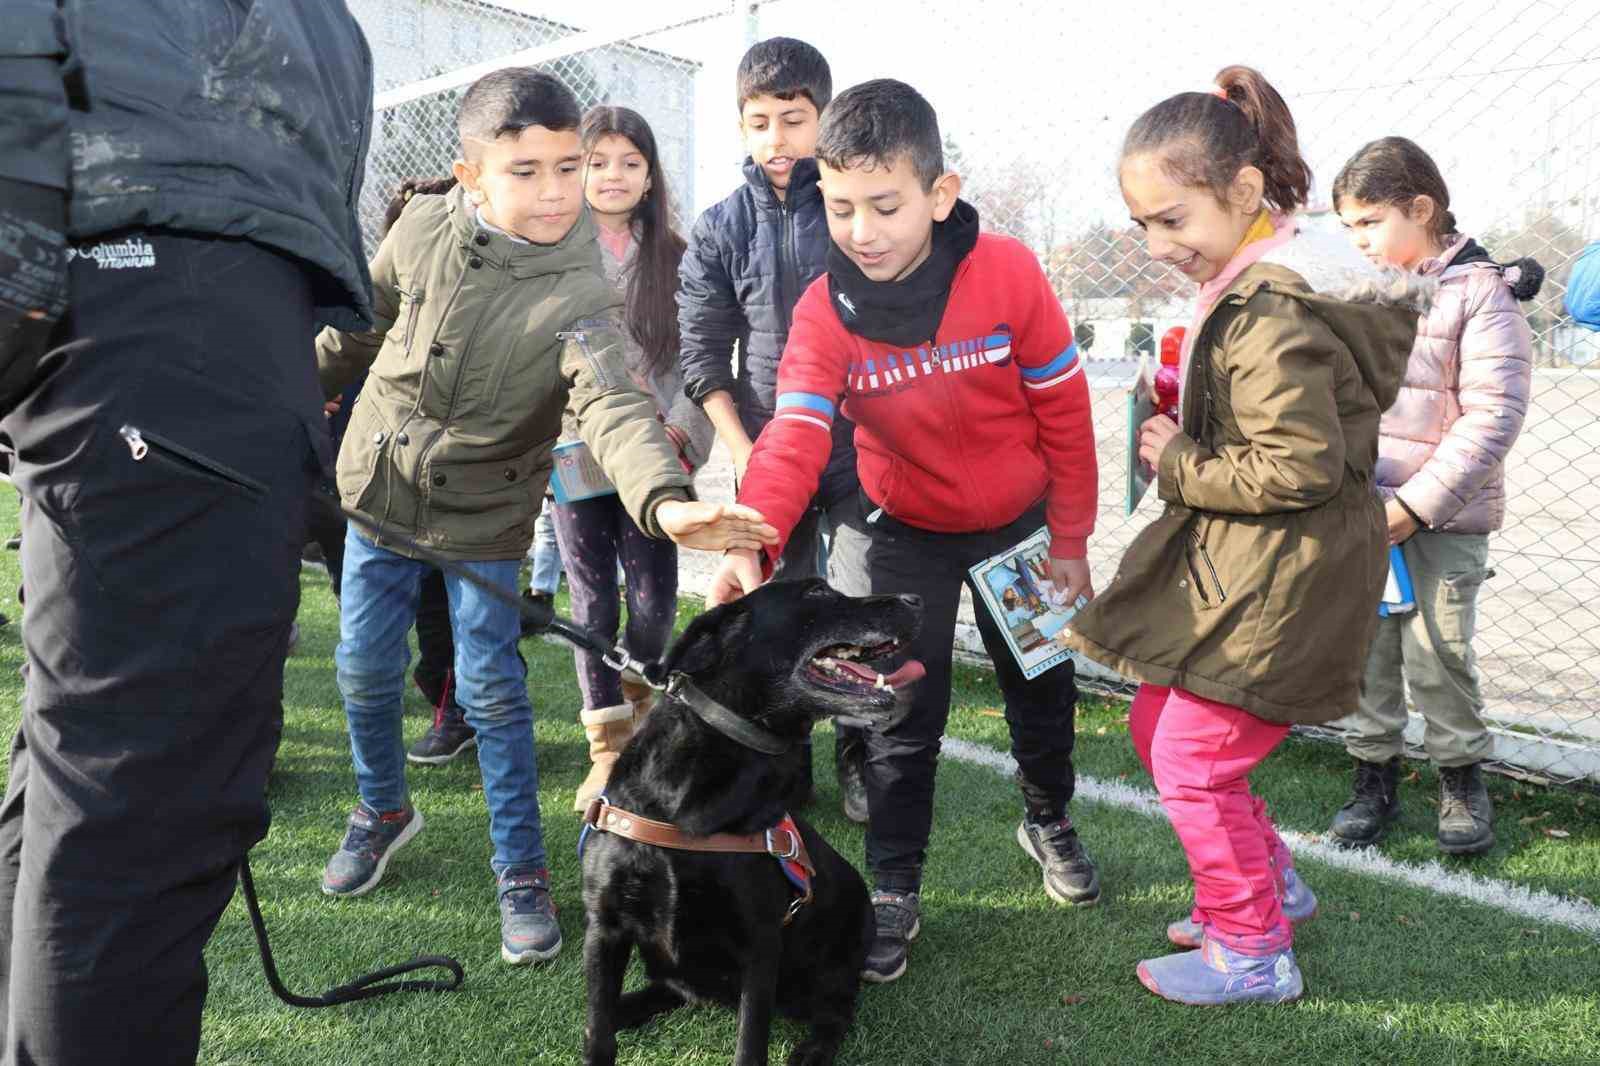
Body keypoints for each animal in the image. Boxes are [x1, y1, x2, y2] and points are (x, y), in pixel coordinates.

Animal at [582, 582, 921, 1062]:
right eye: (818, 592)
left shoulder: (760, 945)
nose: (916, 601)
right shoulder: (605, 925)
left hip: (828, 971)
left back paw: (811, 1051)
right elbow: (598, 1028)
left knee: (837, 1014)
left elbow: (750, 1041)